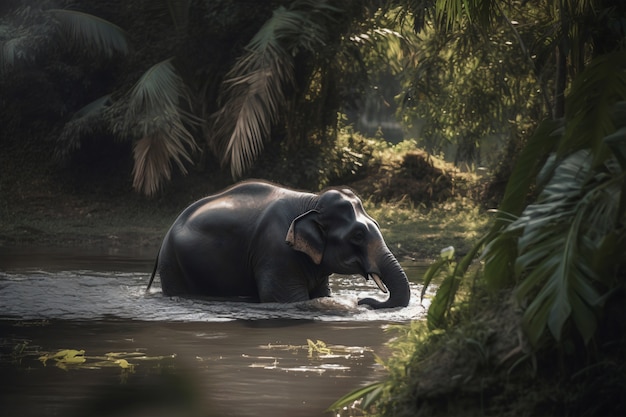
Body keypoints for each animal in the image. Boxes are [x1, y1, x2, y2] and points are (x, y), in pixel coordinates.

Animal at [146, 180, 410, 308]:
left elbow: (320, 295)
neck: (311, 202)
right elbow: (289, 300)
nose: (362, 301)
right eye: (357, 235)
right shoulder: (275, 251)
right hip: (174, 265)